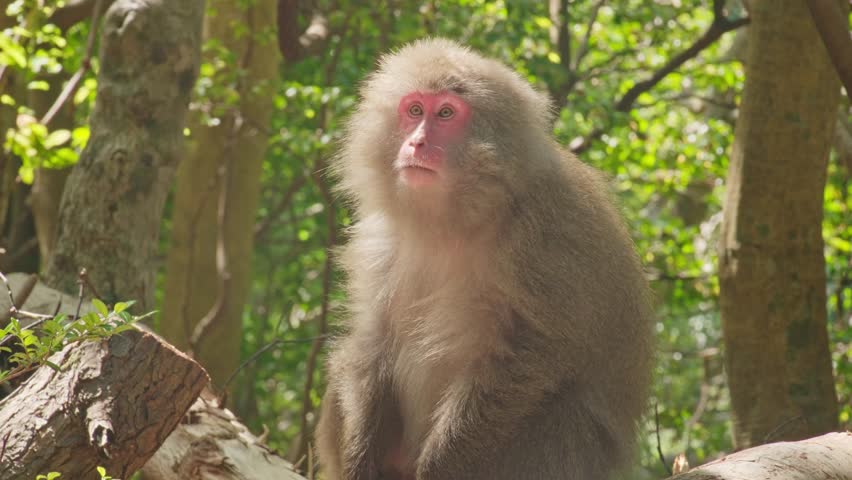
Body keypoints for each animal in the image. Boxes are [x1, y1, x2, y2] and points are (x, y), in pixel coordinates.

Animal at [316, 38, 654, 480]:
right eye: (414, 110)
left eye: (446, 113)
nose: (416, 143)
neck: (454, 220)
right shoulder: (380, 239)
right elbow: (374, 340)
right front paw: (359, 464)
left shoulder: (545, 234)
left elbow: (530, 354)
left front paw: (440, 468)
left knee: (566, 413)